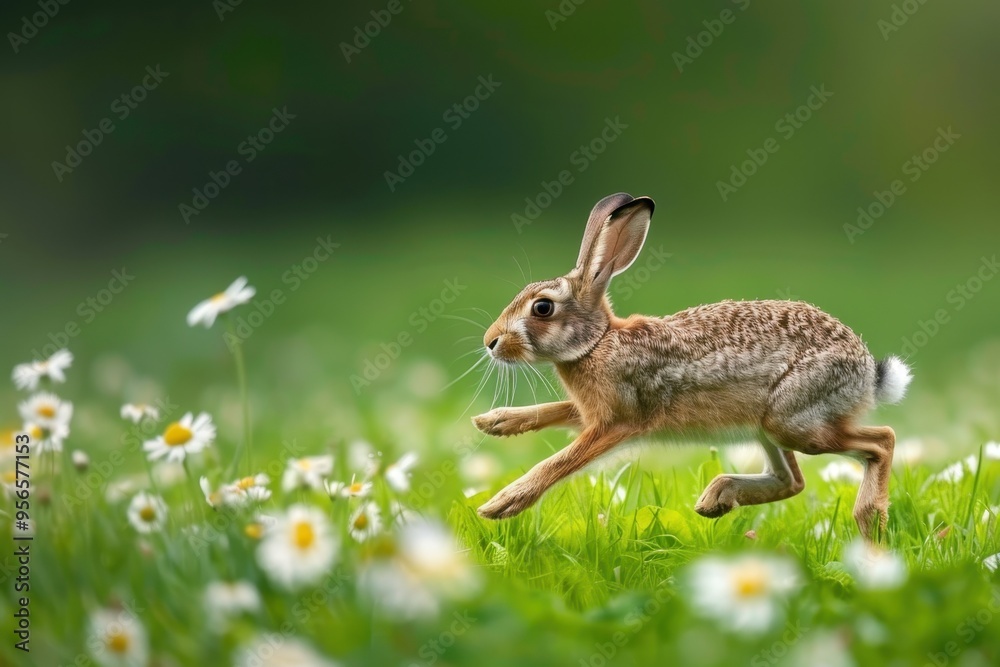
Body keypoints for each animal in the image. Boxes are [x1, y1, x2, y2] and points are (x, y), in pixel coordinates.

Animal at [472, 192, 912, 539]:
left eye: (542, 308)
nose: (490, 342)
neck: (597, 342)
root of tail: (868, 373)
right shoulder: (590, 410)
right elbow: (553, 410)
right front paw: (494, 422)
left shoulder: (616, 421)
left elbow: (561, 461)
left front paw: (501, 504)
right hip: (770, 427)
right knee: (792, 482)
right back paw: (717, 497)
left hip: (794, 420)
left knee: (882, 441)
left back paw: (867, 521)